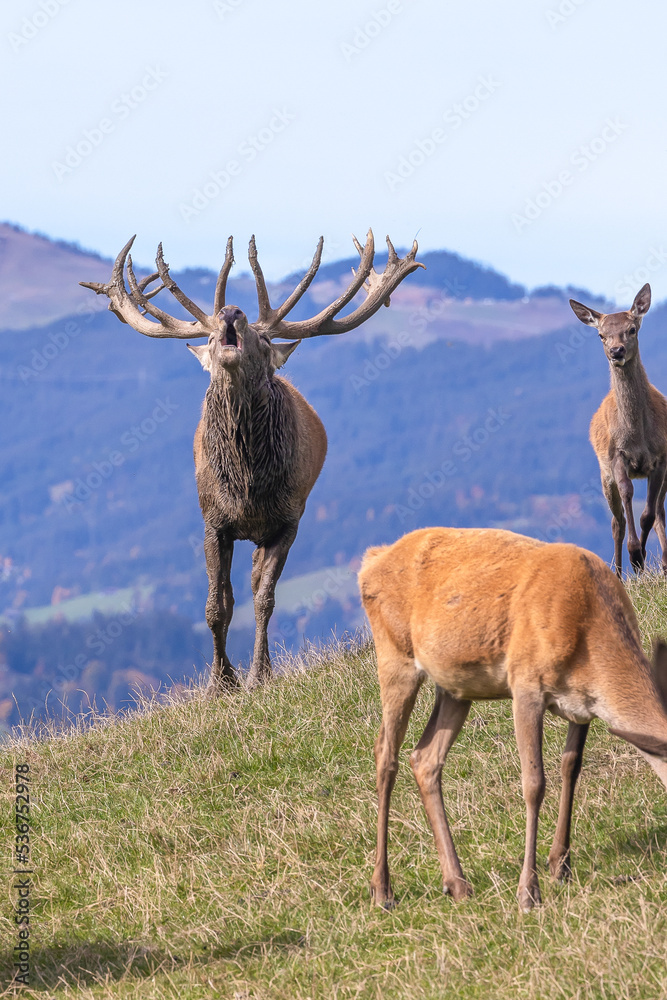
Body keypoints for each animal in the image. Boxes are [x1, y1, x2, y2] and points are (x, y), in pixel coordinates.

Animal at [81, 231, 424, 690]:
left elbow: (265, 599)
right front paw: (219, 682)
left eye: (264, 343)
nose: (231, 312)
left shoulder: (287, 521)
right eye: (209, 339)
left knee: (256, 582)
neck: (247, 486)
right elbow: (215, 605)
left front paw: (260, 675)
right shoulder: (213, 522)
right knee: (230, 592)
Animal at [358, 526, 667, 913]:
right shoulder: (525, 684)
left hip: (456, 689)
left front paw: (560, 864)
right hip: (395, 657)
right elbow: (534, 784)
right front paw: (528, 892)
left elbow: (571, 766)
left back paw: (457, 883)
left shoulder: (581, 707)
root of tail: (370, 563)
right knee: (385, 753)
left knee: (425, 758)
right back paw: (382, 889)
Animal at [570, 284, 667, 578]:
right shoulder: (616, 458)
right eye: (601, 335)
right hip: (604, 476)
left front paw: (641, 557)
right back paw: (619, 574)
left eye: (632, 328)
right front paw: (636, 557)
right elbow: (627, 498)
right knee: (616, 522)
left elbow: (648, 515)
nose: (616, 351)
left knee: (658, 511)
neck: (638, 437)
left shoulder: (660, 459)